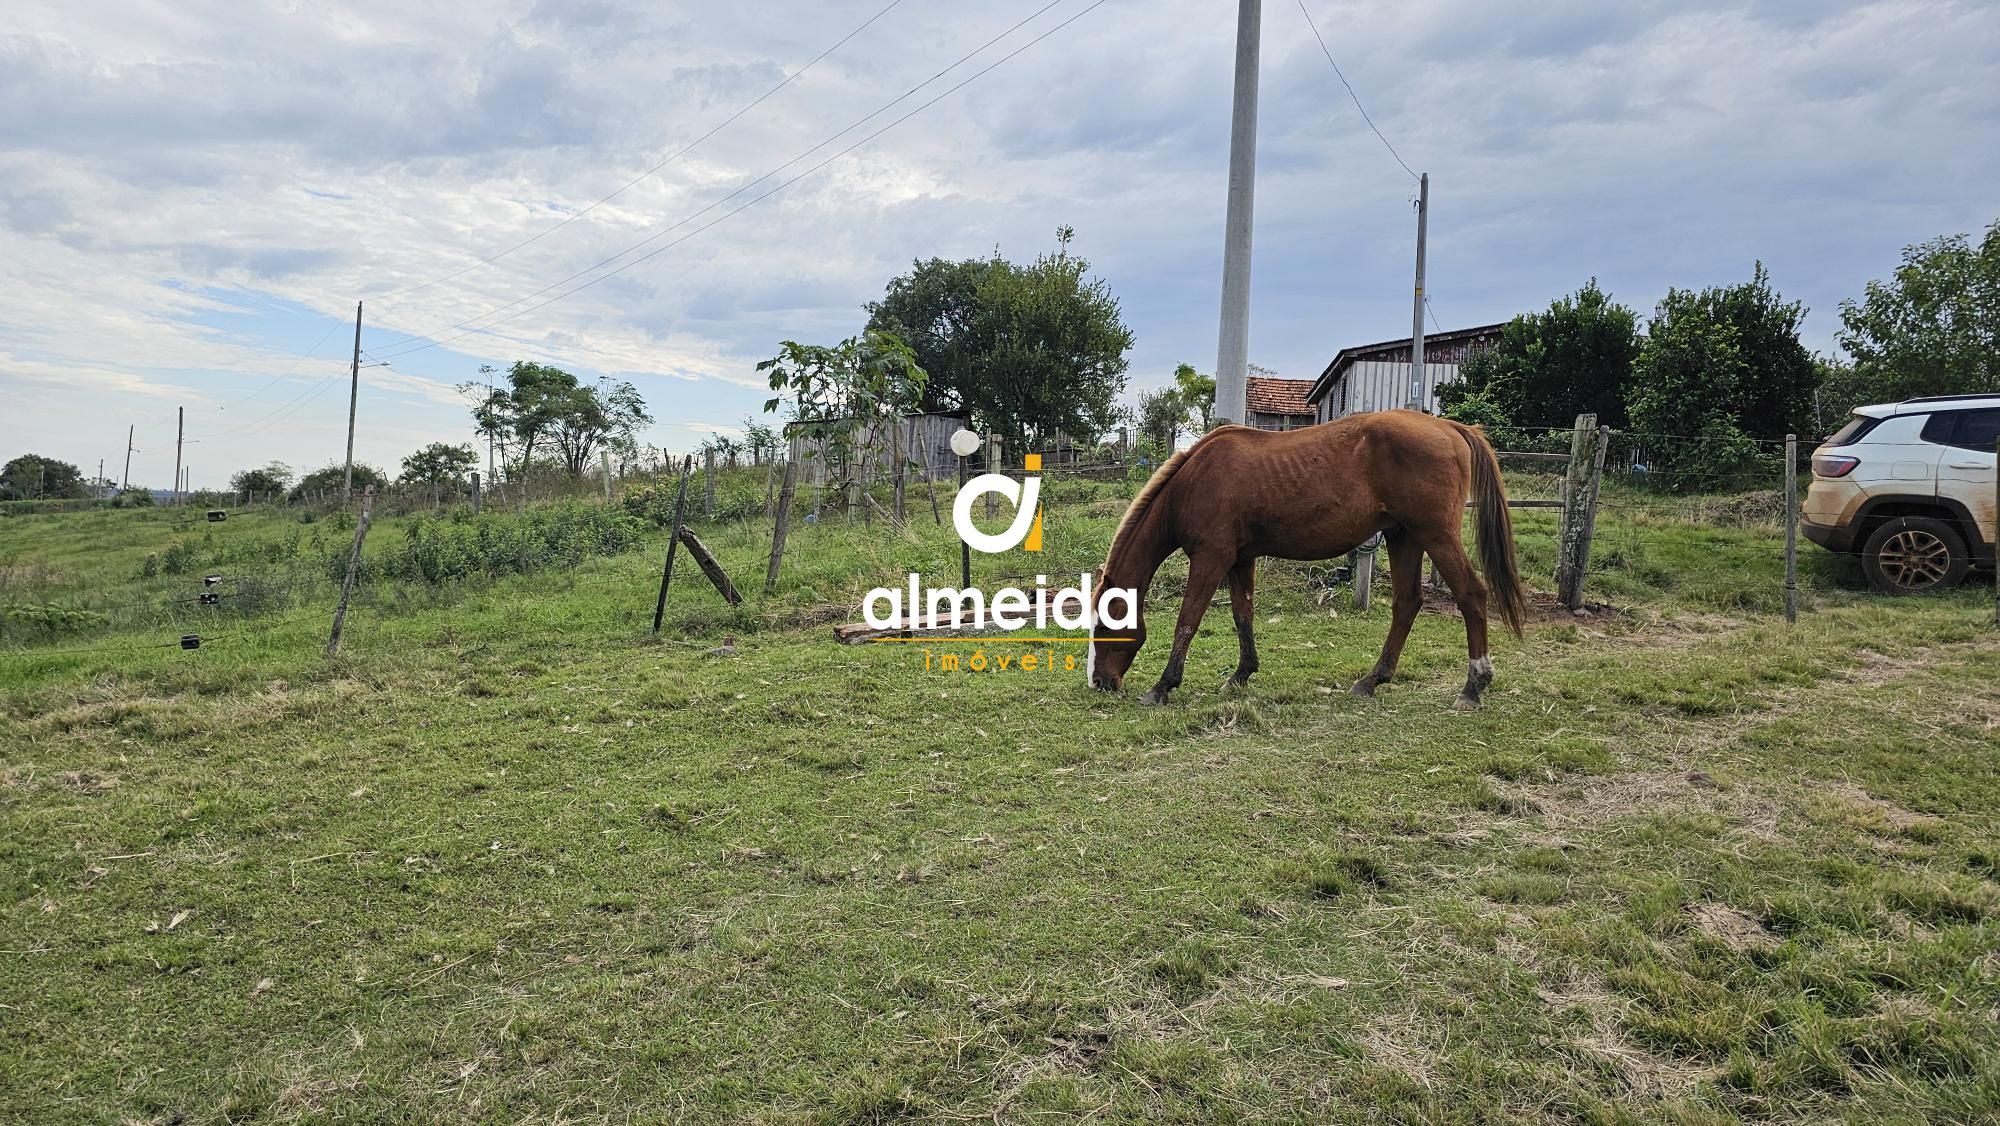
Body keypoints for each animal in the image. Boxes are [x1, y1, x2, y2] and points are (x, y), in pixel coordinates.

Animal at [1088, 414, 1520, 708]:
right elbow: (1242, 616)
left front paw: (1163, 686)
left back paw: (1473, 685)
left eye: (1106, 628)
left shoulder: (1211, 558)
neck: (1192, 482)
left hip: (1435, 535)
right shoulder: (1239, 560)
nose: (1099, 682)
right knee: (1406, 604)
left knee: (1471, 595)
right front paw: (1241, 674)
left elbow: (1187, 621)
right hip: (1405, 538)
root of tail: (1450, 427)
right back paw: (1372, 680)